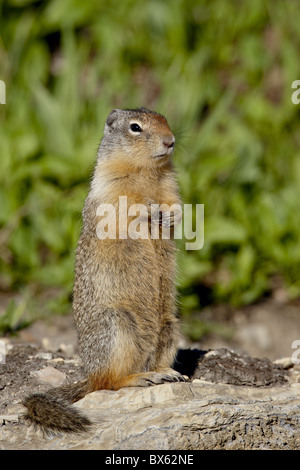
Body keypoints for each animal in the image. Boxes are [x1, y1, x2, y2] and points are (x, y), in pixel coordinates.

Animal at [22, 106, 185, 434]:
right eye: (135, 127)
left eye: (164, 120)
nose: (170, 141)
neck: (147, 172)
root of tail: (90, 375)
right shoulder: (109, 187)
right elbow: (124, 209)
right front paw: (147, 210)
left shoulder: (170, 186)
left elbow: (176, 205)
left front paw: (171, 216)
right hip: (117, 327)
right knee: (110, 382)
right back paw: (140, 377)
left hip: (169, 326)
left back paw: (165, 372)